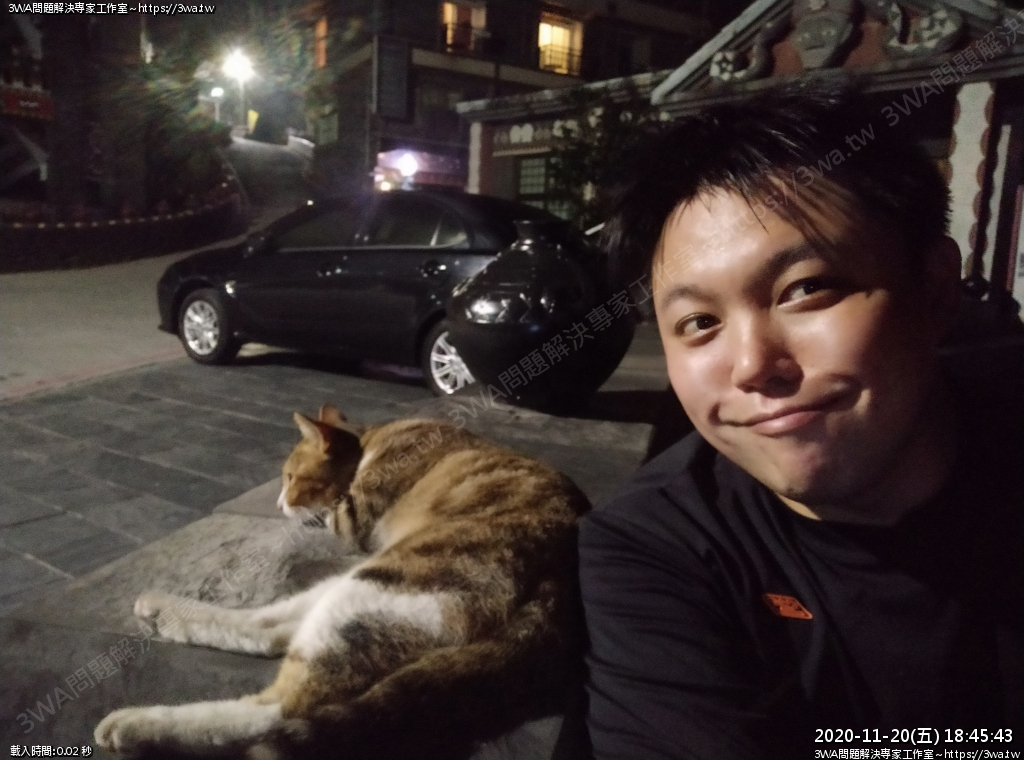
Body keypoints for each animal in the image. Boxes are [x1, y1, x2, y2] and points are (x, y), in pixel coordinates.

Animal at [94, 404, 591, 759]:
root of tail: (562, 592)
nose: (277, 504)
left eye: (291, 477)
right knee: (269, 630)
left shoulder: (353, 519)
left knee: (276, 709)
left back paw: (136, 724)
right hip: (359, 585)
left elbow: (329, 513)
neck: (371, 439)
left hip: (387, 580)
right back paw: (164, 613)